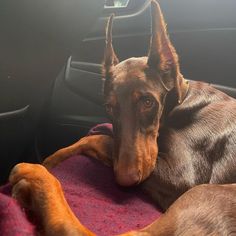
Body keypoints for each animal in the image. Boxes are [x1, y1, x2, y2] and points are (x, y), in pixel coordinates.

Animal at [8, 0, 236, 235]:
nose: (125, 180)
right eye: (110, 107)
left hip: (206, 193)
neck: (181, 102)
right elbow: (100, 137)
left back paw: (35, 177)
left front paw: (49, 161)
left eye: (148, 102)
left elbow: (100, 139)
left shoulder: (182, 178)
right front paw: (55, 157)